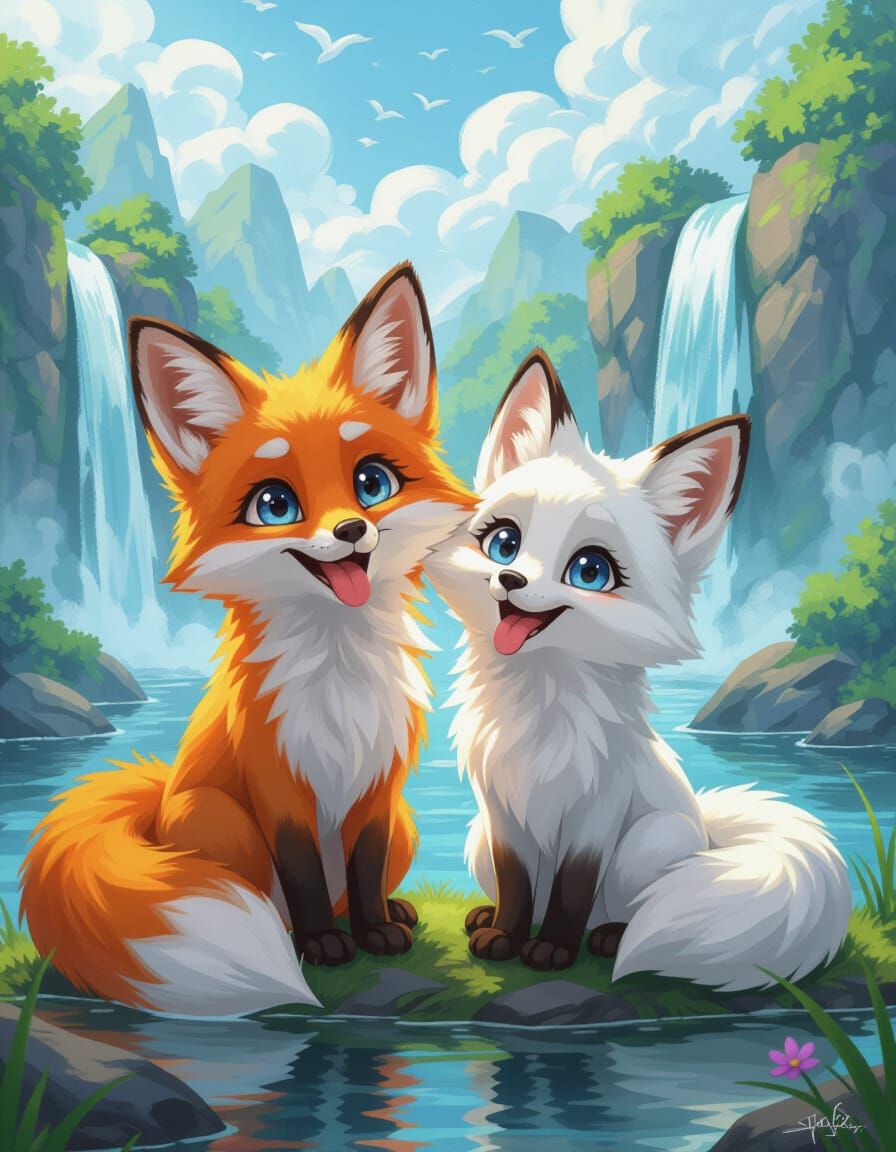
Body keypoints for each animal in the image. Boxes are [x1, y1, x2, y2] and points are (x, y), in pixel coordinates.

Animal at [21, 263, 470, 1016]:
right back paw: (292, 933)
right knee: (265, 898)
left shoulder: (381, 788)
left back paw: (393, 913)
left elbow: (365, 869)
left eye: (371, 483)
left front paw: (376, 931)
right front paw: (322, 946)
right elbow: (304, 877)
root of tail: (161, 795)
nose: (352, 531)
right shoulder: (277, 785)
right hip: (218, 820)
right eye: (275, 505)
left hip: (406, 822)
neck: (339, 675)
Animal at [432, 348, 851, 990]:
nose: (511, 580)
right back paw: (487, 915)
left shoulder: (596, 818)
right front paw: (503, 936)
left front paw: (552, 951)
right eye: (503, 542)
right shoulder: (502, 817)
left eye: (589, 571)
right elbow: (517, 888)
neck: (541, 708)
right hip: (476, 841)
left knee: (627, 908)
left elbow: (572, 891)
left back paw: (606, 938)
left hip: (648, 845)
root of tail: (707, 830)